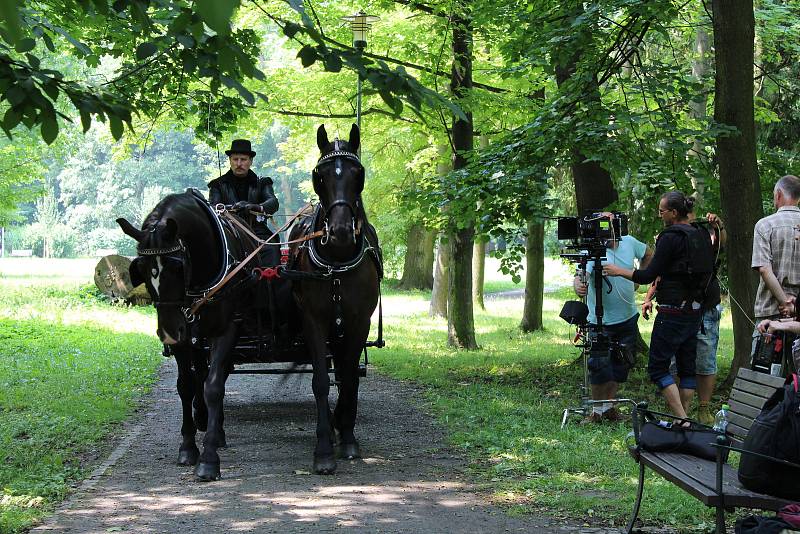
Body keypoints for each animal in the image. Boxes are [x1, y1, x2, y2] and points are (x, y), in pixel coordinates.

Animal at [117, 192, 260, 482]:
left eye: (176, 266)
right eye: (142, 269)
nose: (168, 333)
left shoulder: (226, 329)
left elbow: (214, 387)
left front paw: (209, 458)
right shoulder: (185, 337)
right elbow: (185, 385)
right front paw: (187, 446)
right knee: (199, 374)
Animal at [284, 125, 382, 478]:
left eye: (358, 173)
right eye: (320, 175)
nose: (339, 232)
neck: (337, 262)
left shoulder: (358, 321)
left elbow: (350, 376)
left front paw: (348, 437)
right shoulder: (314, 321)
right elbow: (321, 381)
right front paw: (324, 450)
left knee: (344, 368)